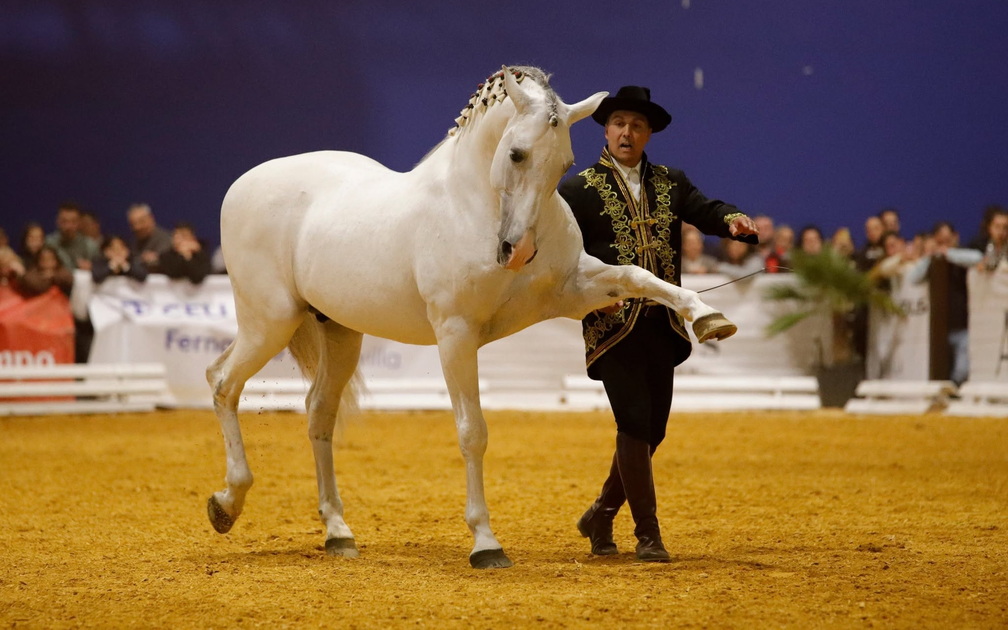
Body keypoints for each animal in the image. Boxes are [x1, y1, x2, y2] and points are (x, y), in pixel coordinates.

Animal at [206, 65, 738, 569]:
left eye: (565, 164)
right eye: (517, 153)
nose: (518, 252)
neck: (474, 207)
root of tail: (241, 185)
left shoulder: (572, 292)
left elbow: (638, 276)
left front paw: (708, 316)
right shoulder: (456, 335)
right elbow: (472, 432)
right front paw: (485, 543)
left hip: (338, 332)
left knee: (318, 413)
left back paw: (338, 533)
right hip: (269, 322)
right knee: (222, 382)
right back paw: (226, 504)